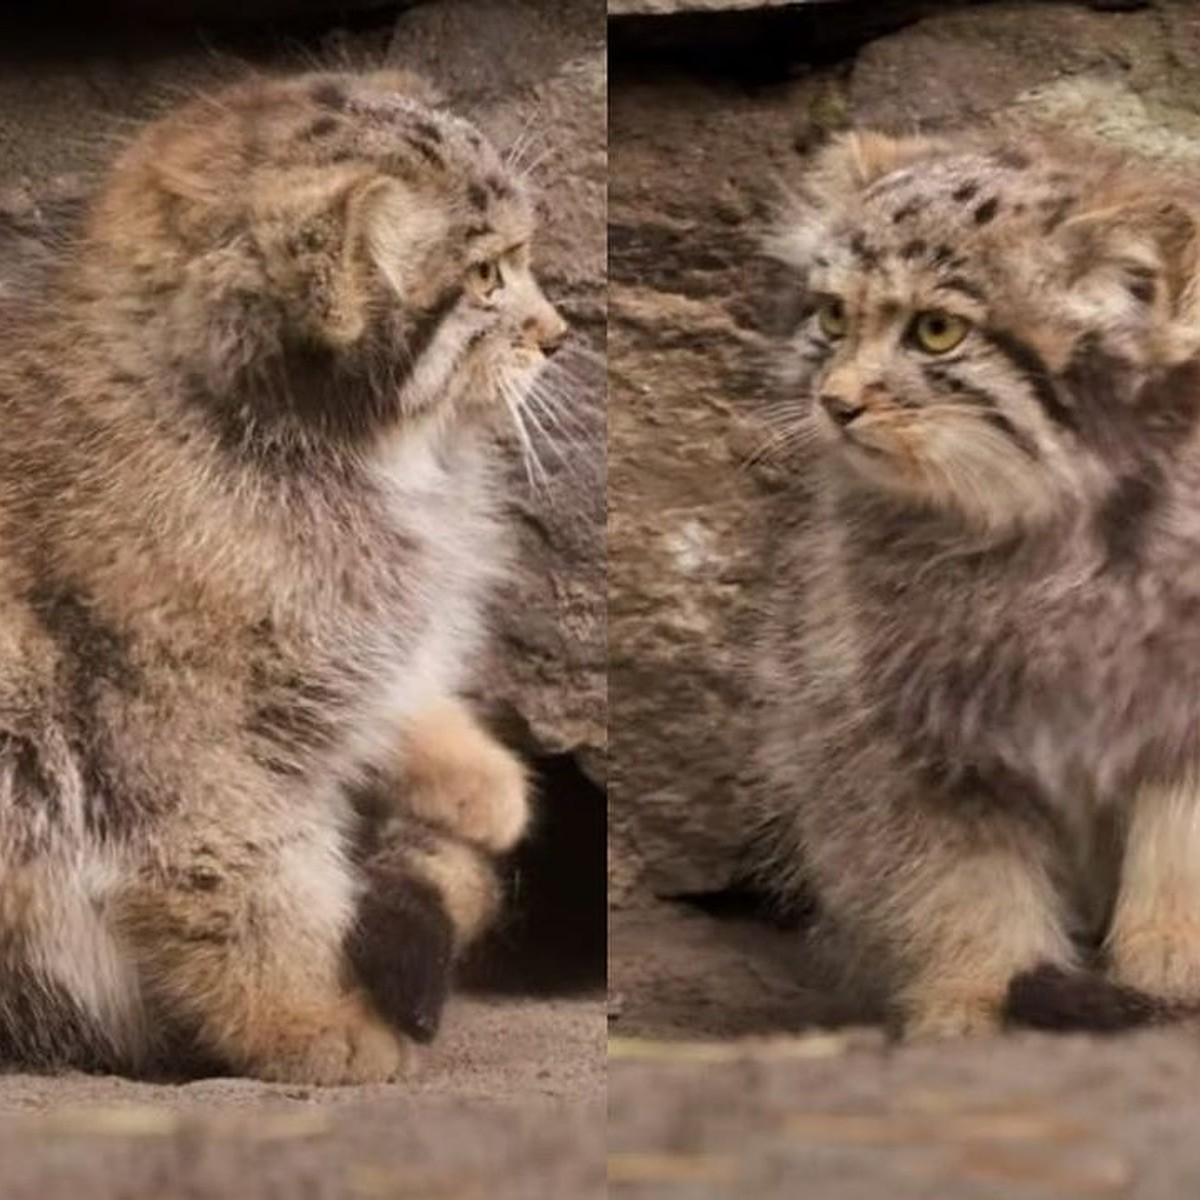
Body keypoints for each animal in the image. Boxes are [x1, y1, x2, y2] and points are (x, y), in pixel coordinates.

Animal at [753, 126, 1200, 1036]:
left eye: (936, 332)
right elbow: (962, 883)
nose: (834, 402)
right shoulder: (907, 730)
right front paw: (973, 998)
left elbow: (1181, 856)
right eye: (833, 316)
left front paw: (1170, 969)